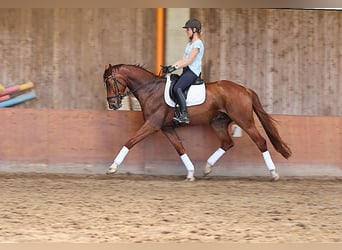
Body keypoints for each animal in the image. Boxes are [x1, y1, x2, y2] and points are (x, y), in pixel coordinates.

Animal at [102, 63, 292, 181]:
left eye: (110, 82)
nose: (113, 104)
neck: (150, 89)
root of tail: (244, 89)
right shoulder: (167, 127)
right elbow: (180, 148)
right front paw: (191, 173)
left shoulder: (153, 125)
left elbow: (130, 141)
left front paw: (112, 167)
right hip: (218, 122)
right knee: (227, 143)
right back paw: (207, 167)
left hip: (244, 120)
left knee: (261, 142)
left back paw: (274, 174)